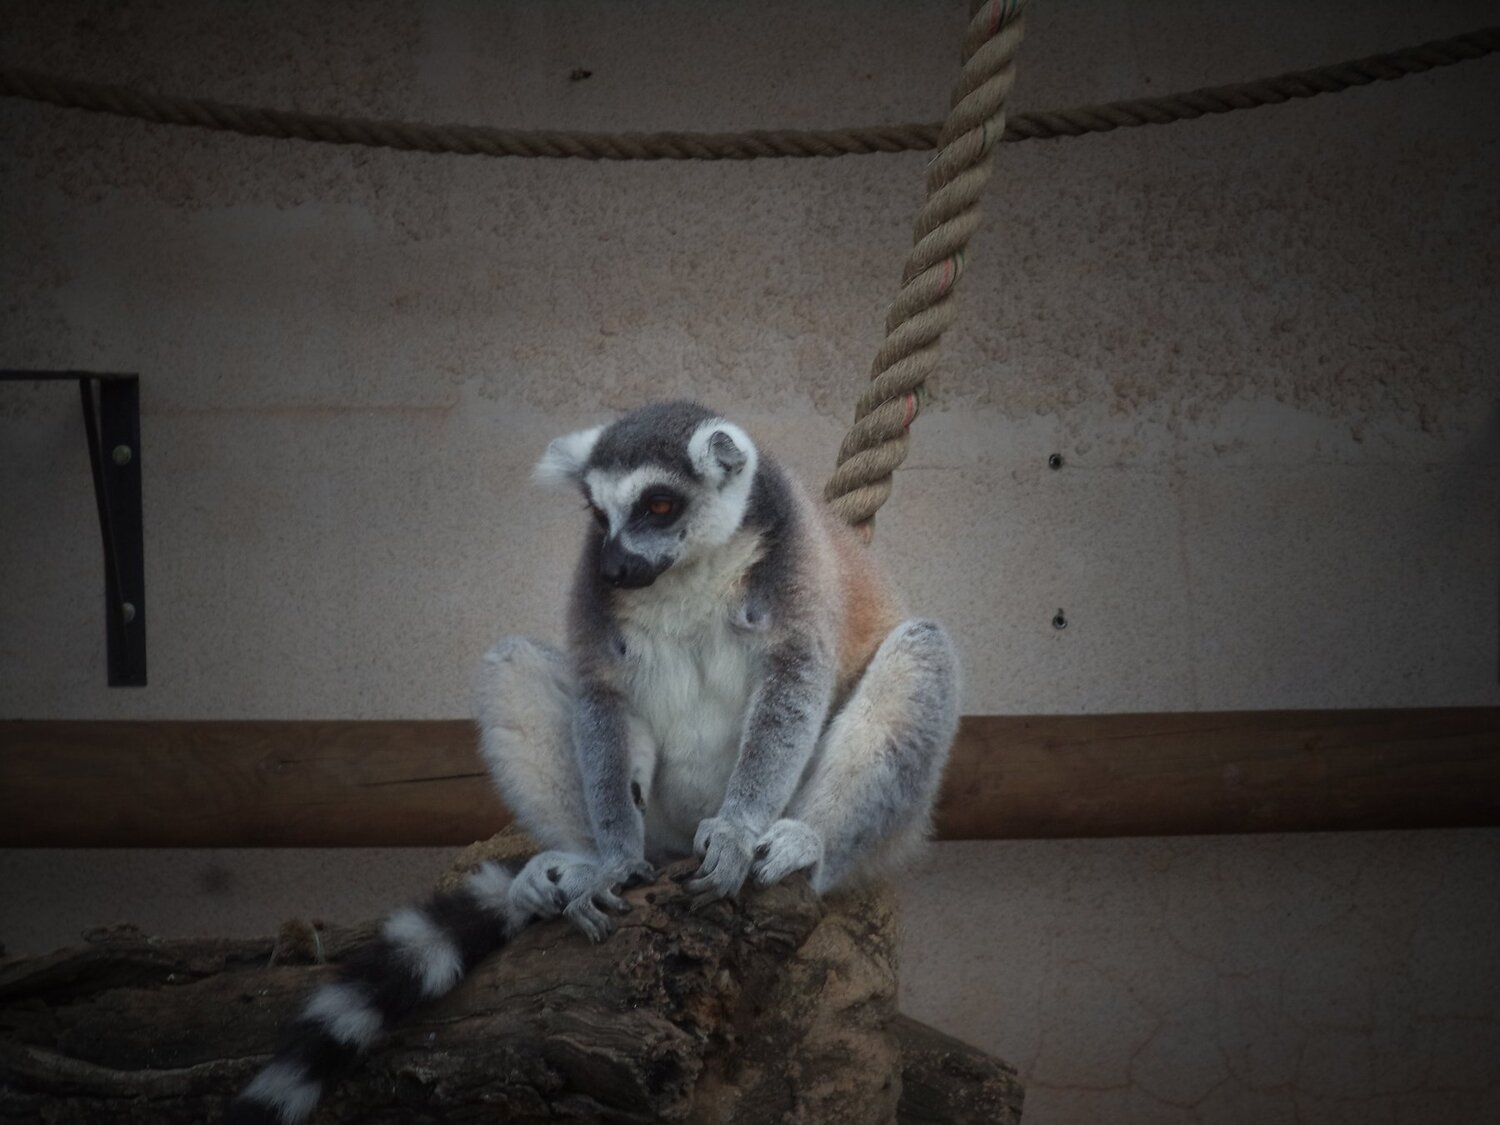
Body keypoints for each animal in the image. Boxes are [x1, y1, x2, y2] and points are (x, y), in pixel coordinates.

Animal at [230, 401, 959, 1123]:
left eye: (658, 505)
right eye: (597, 512)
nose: (615, 568)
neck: (692, 566)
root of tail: (673, 847)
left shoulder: (792, 559)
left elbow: (794, 678)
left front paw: (736, 831)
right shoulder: (594, 594)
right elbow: (604, 700)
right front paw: (608, 859)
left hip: (888, 827)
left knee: (922, 650)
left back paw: (805, 842)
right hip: (659, 823)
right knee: (511, 663)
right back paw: (570, 867)